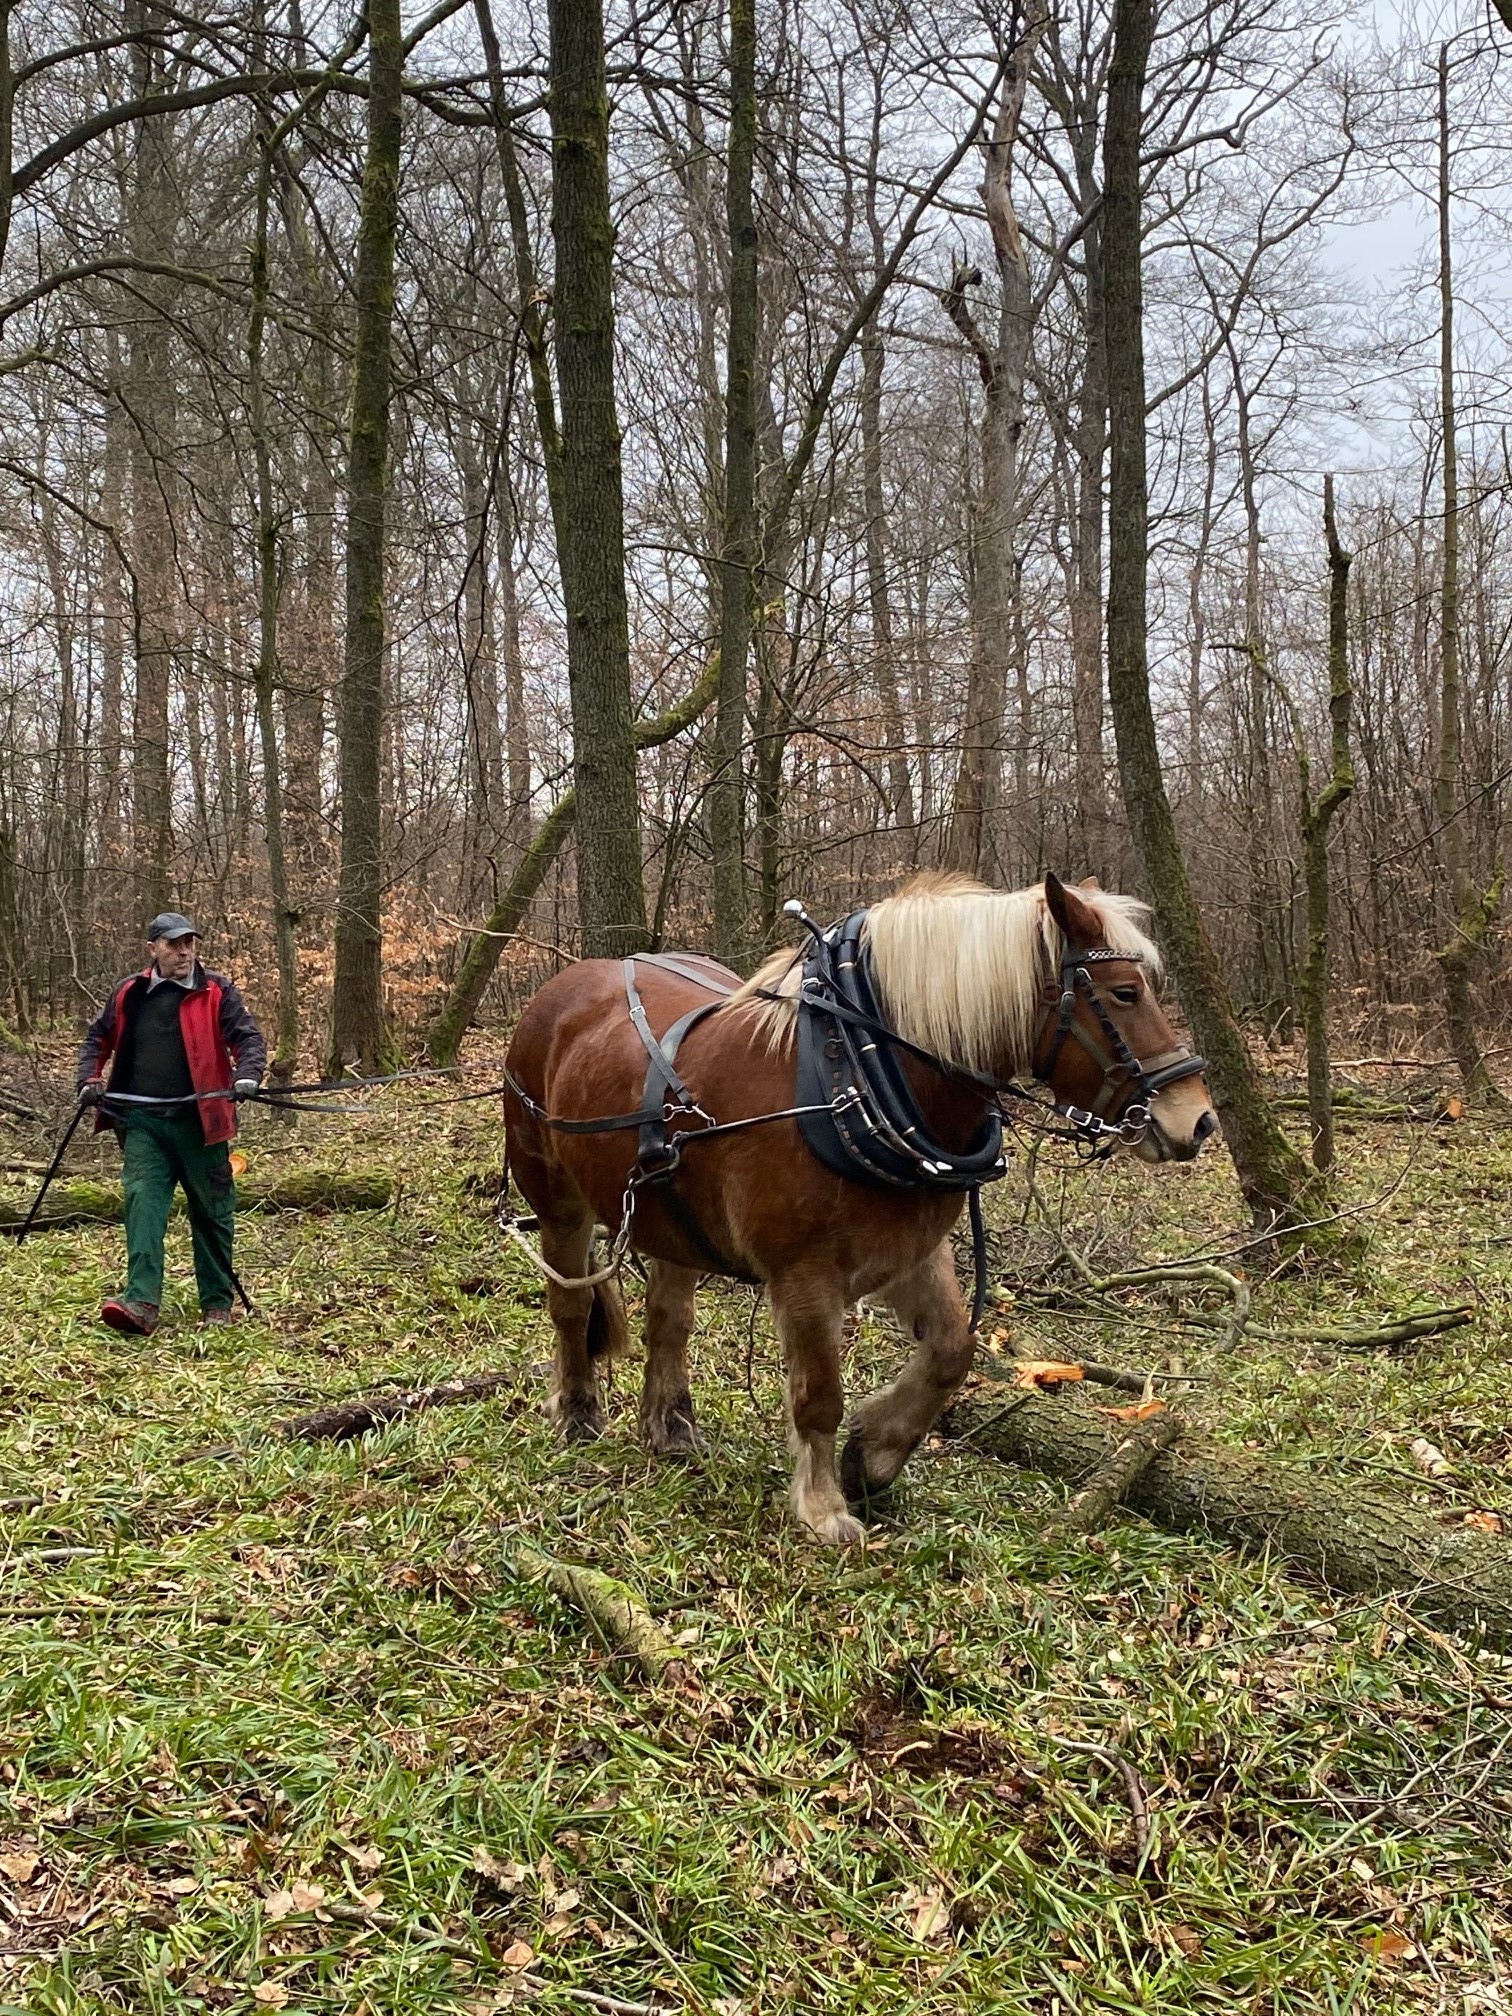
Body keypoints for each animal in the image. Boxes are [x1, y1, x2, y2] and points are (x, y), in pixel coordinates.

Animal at [506, 874, 1217, 1548]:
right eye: (1124, 993)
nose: (1199, 1119)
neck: (851, 1076)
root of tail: (565, 986)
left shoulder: (913, 1251)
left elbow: (952, 1351)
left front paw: (874, 1454)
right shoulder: (804, 1274)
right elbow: (820, 1394)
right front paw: (824, 1507)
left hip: (672, 1219)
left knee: (668, 1319)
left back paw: (671, 1425)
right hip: (557, 1201)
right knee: (571, 1304)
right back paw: (576, 1411)